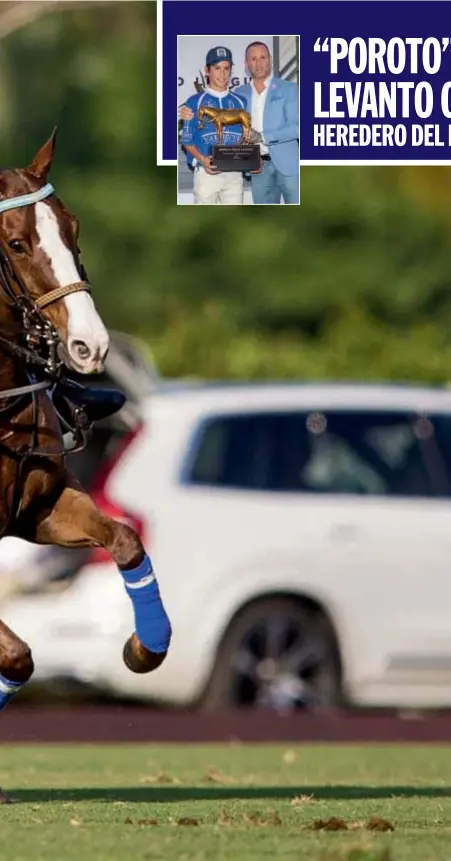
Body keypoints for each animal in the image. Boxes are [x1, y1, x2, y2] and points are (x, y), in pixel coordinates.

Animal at [0, 129, 171, 800]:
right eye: (16, 242)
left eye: (73, 228)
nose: (90, 346)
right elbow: (15, 653)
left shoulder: (40, 508)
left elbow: (124, 539)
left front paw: (146, 648)